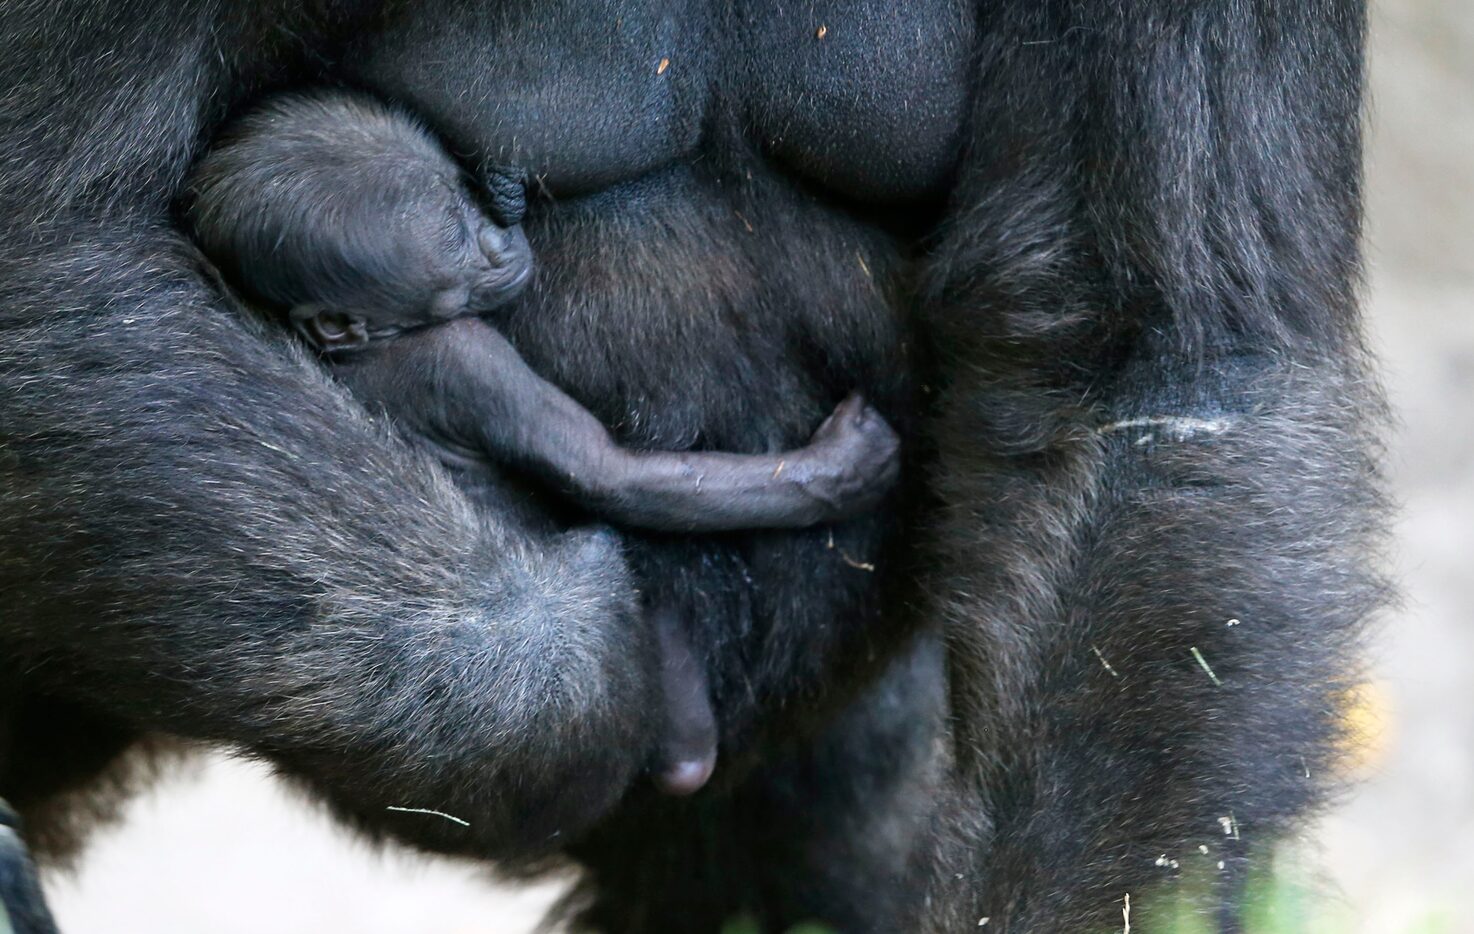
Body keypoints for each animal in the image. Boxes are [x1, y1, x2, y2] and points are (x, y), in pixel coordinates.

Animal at [184, 92, 896, 795]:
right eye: (458, 243)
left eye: (464, 207)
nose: (499, 242)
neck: (370, 343)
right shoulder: (469, 353)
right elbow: (609, 474)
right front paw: (842, 473)